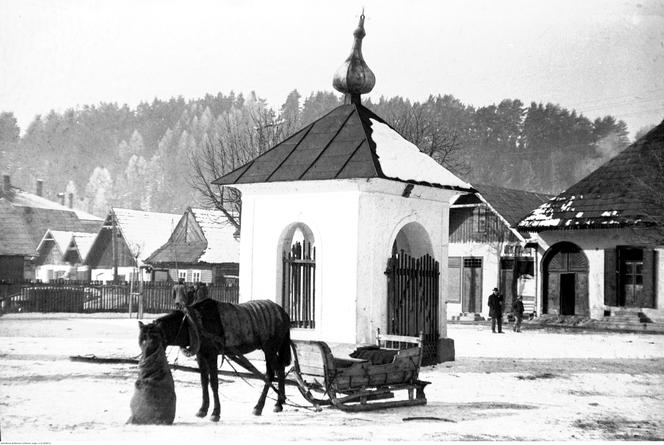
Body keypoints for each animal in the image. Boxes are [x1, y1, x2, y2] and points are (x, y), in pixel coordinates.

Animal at [145, 298, 290, 420]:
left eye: (152, 340)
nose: (147, 360)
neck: (193, 323)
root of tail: (283, 312)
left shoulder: (212, 354)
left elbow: (214, 383)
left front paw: (215, 413)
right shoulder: (201, 355)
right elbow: (204, 382)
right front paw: (203, 409)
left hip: (270, 348)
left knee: (275, 372)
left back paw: (268, 404)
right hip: (269, 349)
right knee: (276, 371)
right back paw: (273, 403)